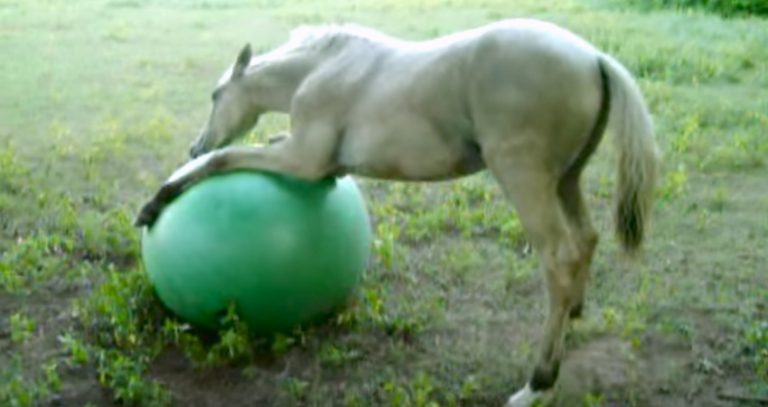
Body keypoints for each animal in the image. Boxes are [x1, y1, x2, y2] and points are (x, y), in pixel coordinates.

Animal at [134, 19, 660, 406]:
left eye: (215, 96)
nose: (195, 142)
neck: (319, 71)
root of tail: (593, 57)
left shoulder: (304, 162)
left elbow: (224, 160)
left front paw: (154, 203)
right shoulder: (320, 165)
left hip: (525, 178)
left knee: (560, 255)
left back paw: (537, 382)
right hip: (566, 179)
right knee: (586, 240)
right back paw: (575, 311)